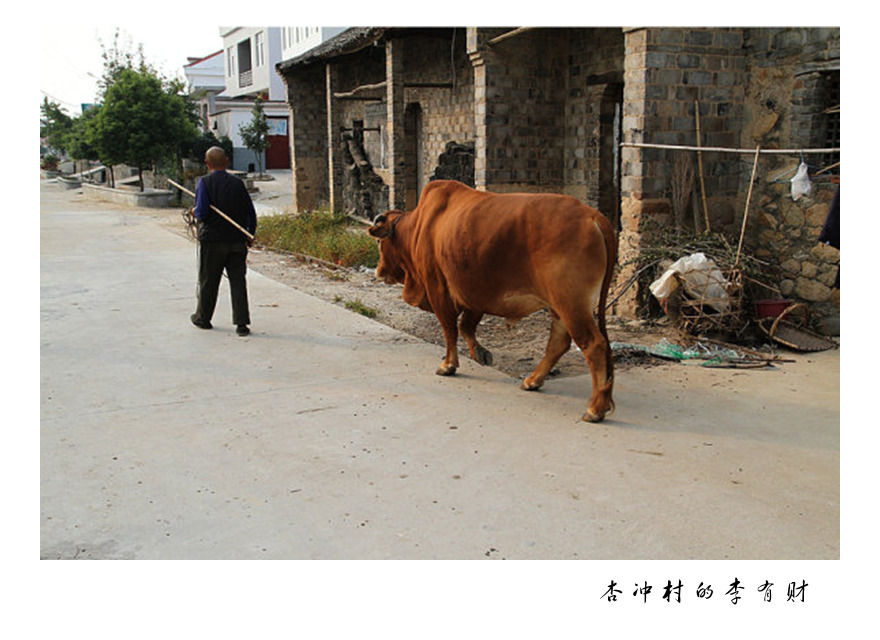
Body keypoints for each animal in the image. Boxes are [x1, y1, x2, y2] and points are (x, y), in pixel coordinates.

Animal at [368, 178, 616, 422]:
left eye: (380, 243)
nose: (378, 271)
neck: (419, 226)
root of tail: (592, 215)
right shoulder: (474, 294)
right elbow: (466, 326)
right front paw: (480, 353)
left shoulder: (438, 288)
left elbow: (450, 329)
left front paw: (448, 365)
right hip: (559, 305)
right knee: (559, 343)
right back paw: (533, 381)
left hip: (571, 303)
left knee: (593, 344)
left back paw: (595, 408)